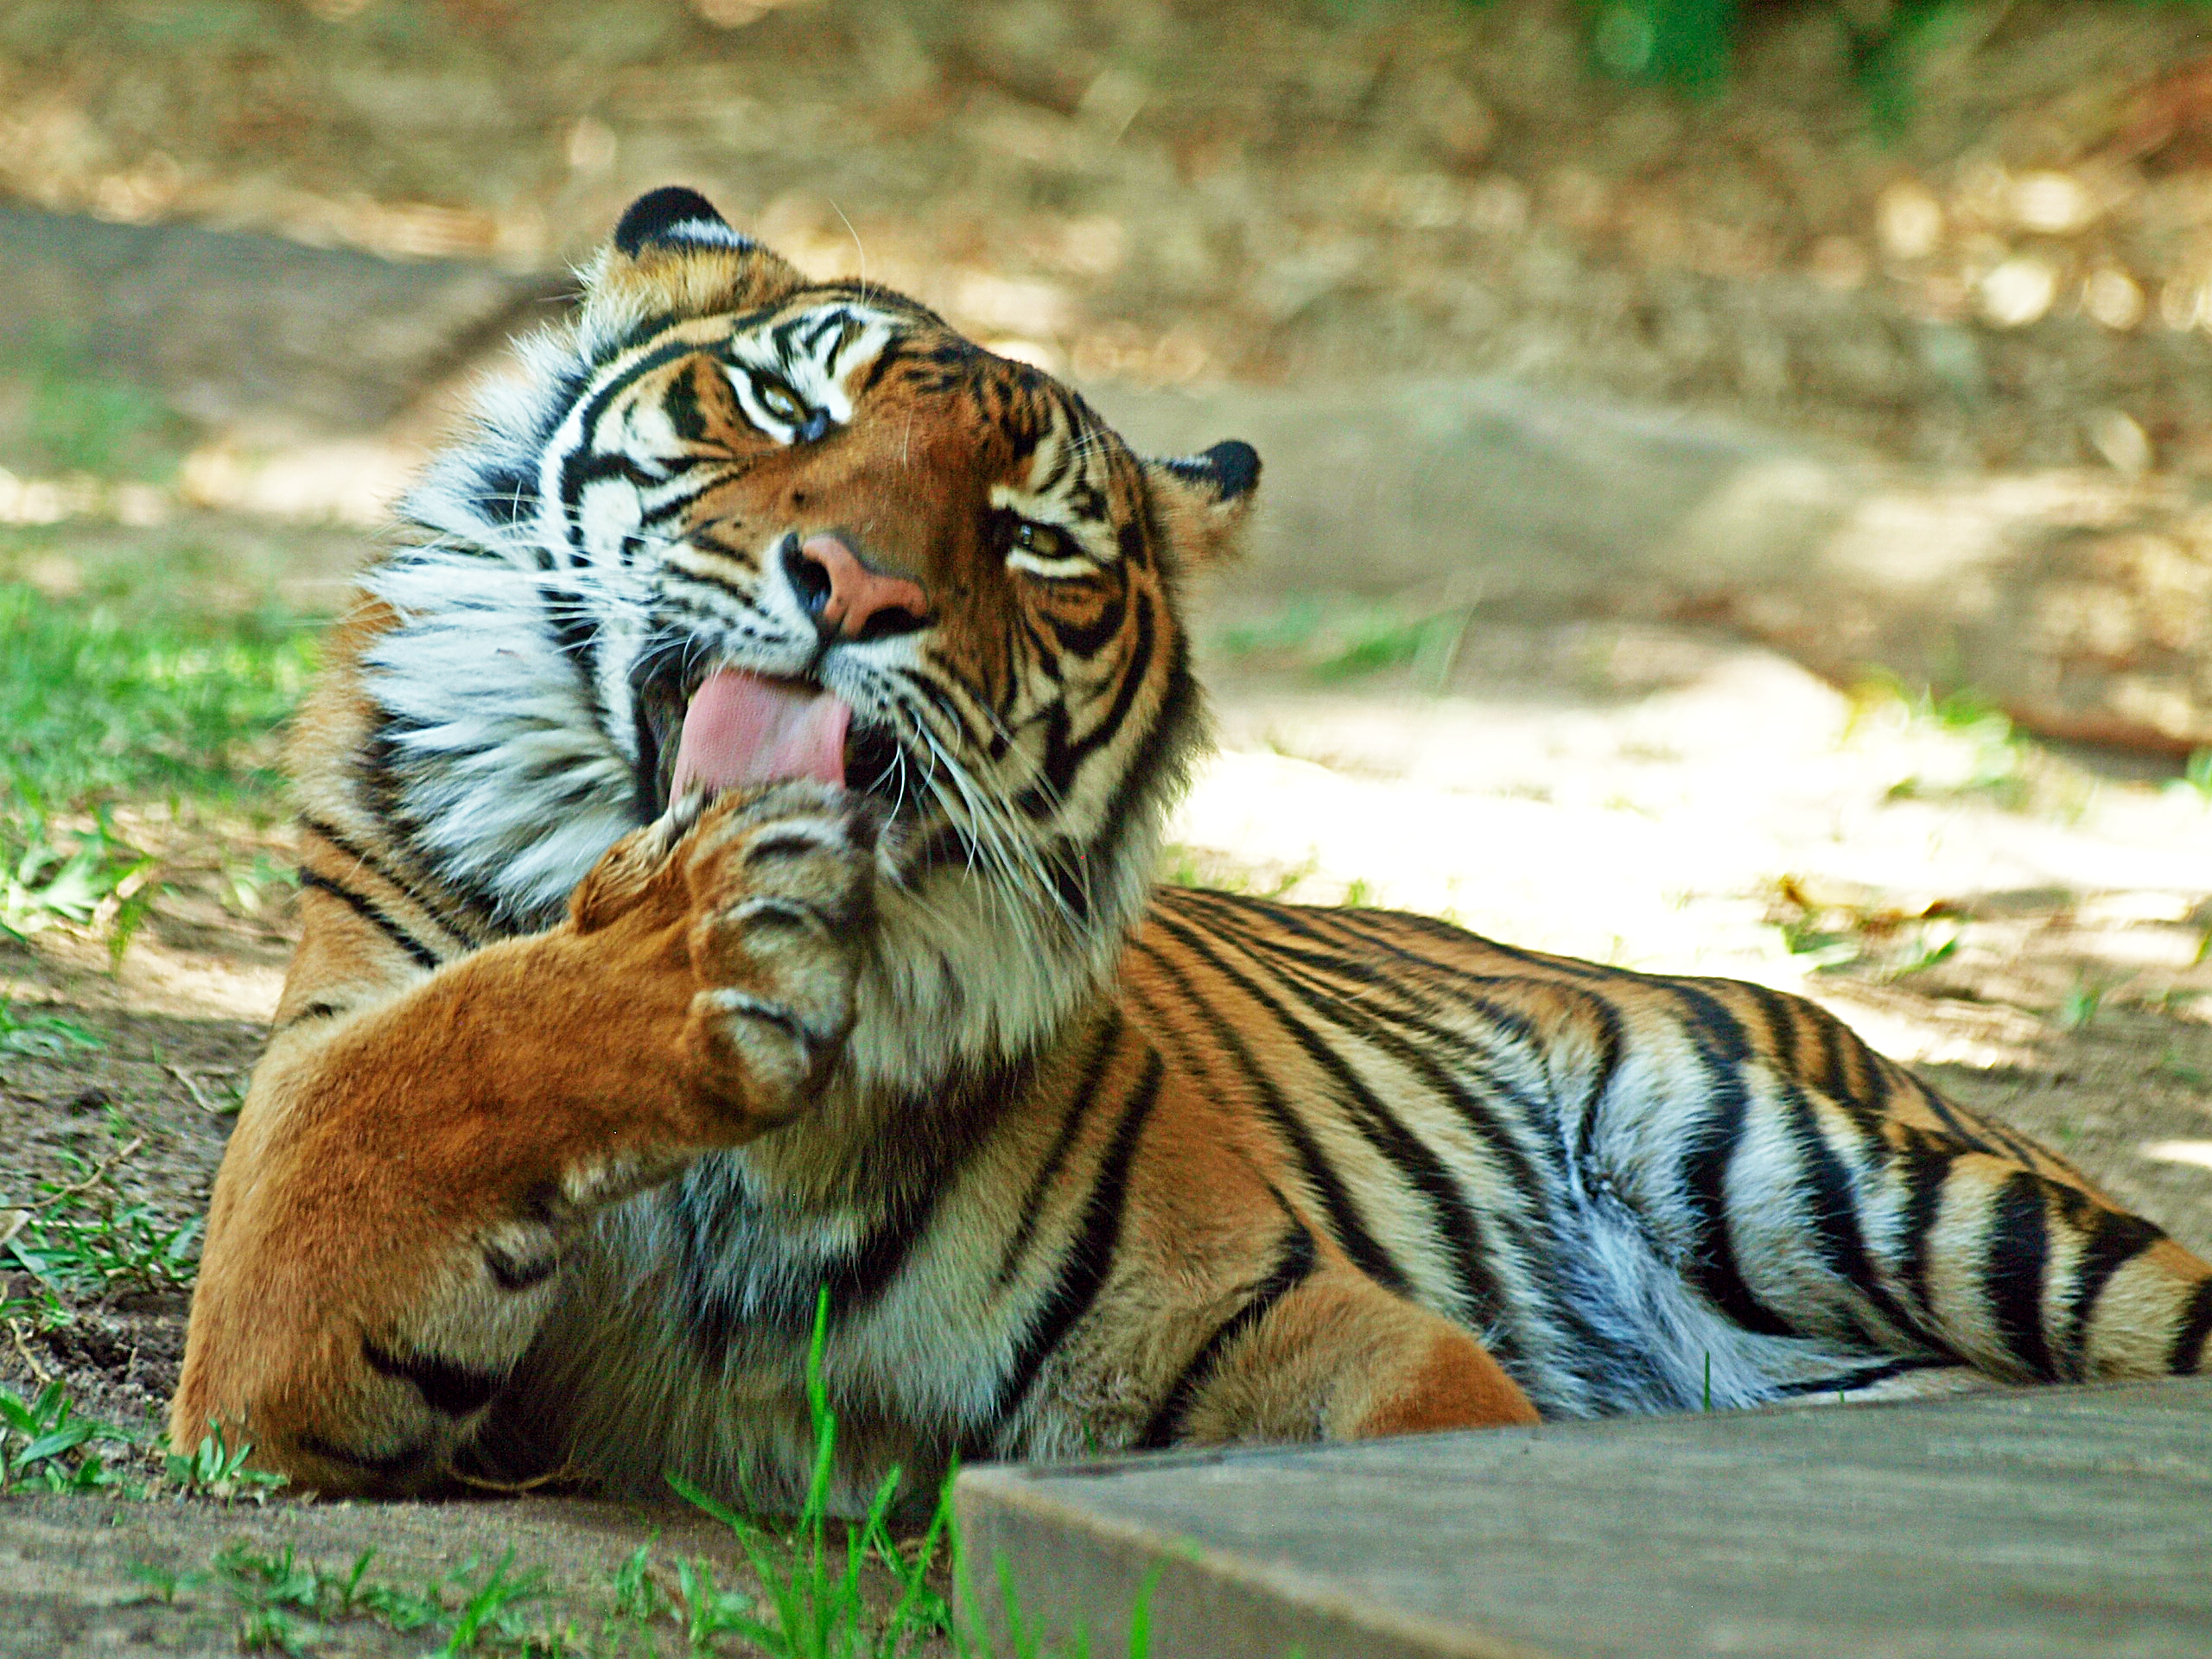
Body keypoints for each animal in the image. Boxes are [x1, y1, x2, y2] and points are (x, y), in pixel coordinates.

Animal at [173, 186, 2212, 1511]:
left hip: (1883, 1188)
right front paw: (691, 946)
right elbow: (405, 1092)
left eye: (1032, 537)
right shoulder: (276, 1314)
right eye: (784, 405)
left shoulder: (1318, 1339)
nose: (856, 587)